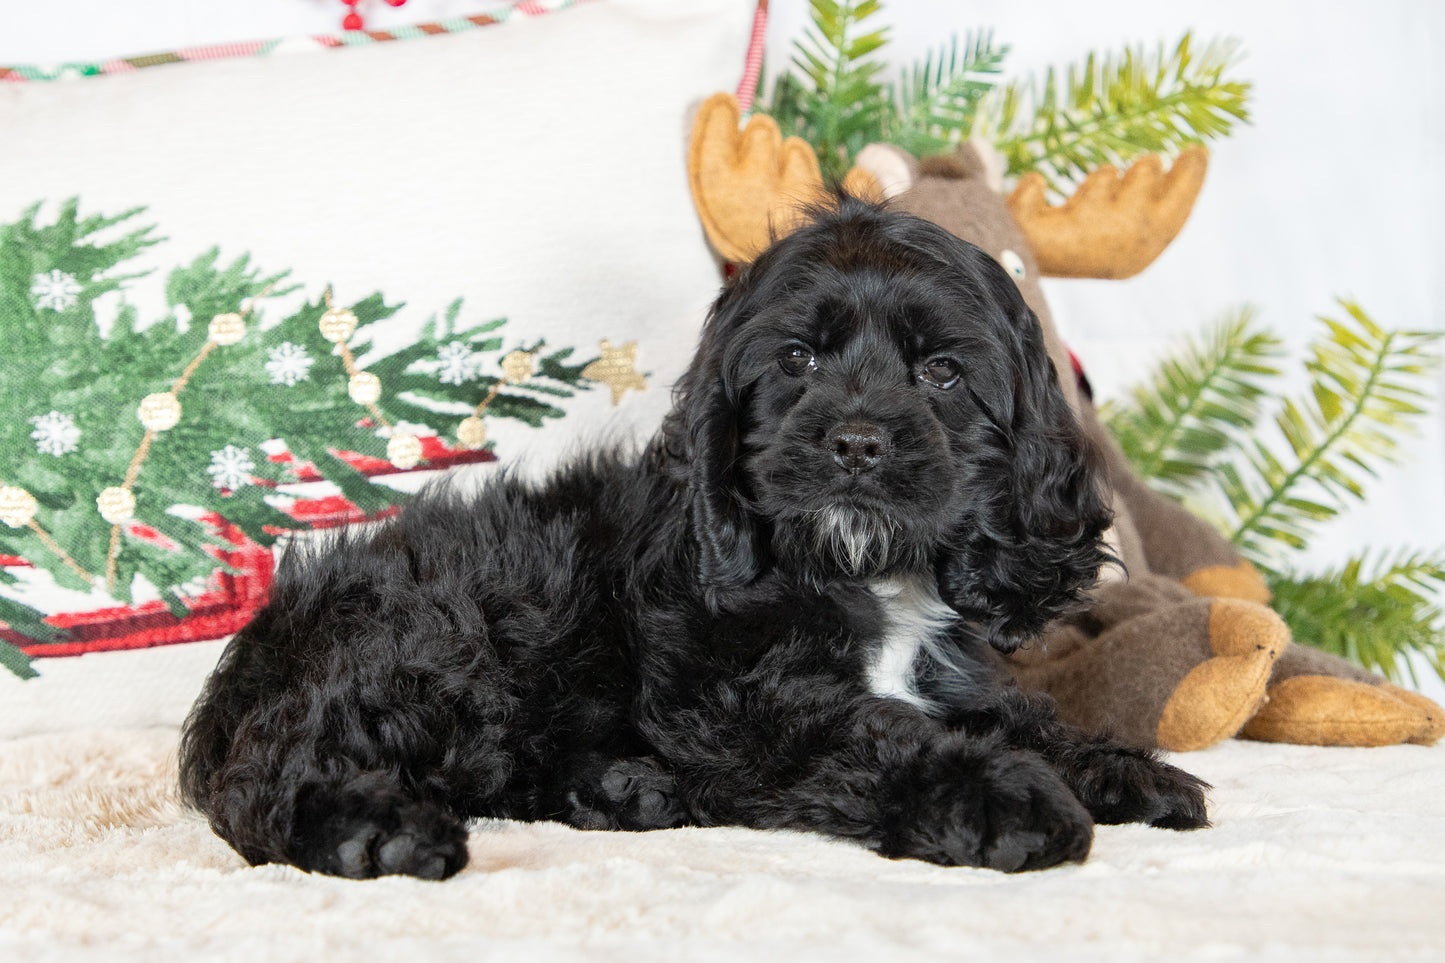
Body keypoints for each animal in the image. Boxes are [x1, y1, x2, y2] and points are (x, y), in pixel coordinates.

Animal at [180, 196, 1208, 879]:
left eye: (942, 373)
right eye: (795, 361)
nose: (855, 442)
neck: (864, 575)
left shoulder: (948, 672)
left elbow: (1011, 712)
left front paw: (1117, 766)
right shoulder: (736, 702)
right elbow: (877, 731)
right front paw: (1006, 796)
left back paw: (619, 790)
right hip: (435, 642)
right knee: (268, 779)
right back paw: (381, 829)